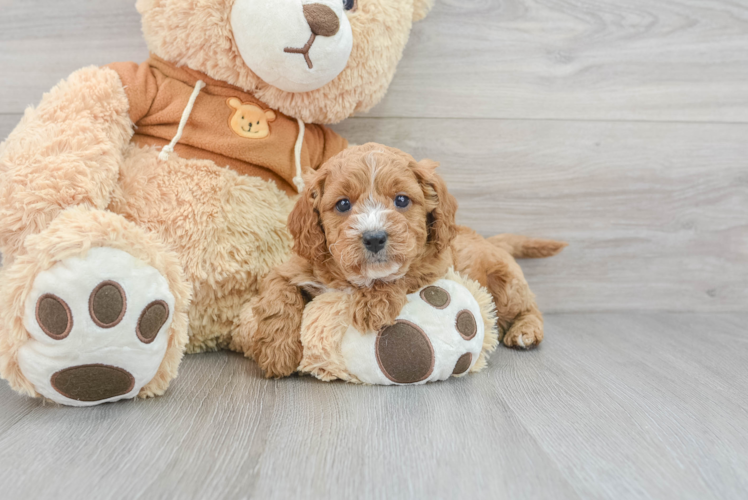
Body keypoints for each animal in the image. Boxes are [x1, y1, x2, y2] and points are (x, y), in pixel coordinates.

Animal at [245, 143, 568, 376]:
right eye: (343, 204)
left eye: (401, 200)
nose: (375, 238)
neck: (356, 277)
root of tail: (488, 239)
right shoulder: (292, 268)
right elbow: (278, 297)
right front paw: (276, 352)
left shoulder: (434, 266)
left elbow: (401, 274)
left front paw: (373, 304)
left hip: (505, 284)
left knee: (529, 307)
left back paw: (525, 330)